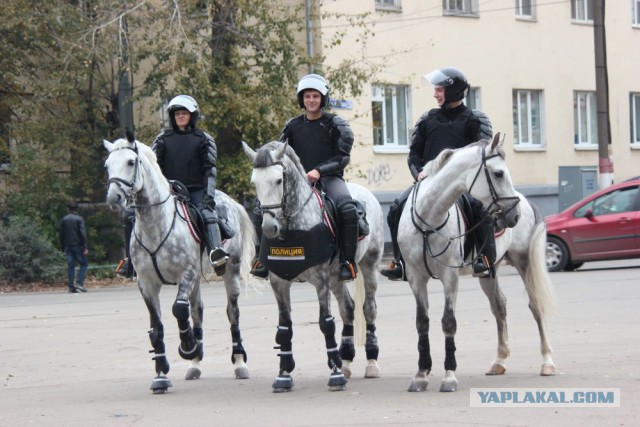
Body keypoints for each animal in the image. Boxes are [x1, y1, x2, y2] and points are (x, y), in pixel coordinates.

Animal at [104, 135, 255, 392]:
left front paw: (187, 346)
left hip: (229, 273)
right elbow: (157, 327)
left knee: (232, 313)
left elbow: (178, 309)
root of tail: (231, 202)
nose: (114, 197)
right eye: (107, 165)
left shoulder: (187, 273)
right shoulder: (147, 284)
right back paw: (195, 364)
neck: (156, 226)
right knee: (197, 311)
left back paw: (239, 363)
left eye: (131, 162)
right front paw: (161, 376)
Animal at [242, 142, 384, 392]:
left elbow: (326, 323)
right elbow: (284, 327)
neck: (293, 228)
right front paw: (283, 375)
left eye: (278, 180)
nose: (269, 227)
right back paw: (346, 360)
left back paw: (371, 363)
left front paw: (335, 374)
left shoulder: (321, 279)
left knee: (368, 309)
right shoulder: (279, 282)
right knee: (348, 308)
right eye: (254, 182)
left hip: (369, 266)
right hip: (337, 277)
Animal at [400, 134, 556, 394]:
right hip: (489, 273)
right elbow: (422, 323)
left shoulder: (449, 277)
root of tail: (525, 201)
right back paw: (499, 361)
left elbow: (448, 322)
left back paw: (547, 362)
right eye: (499, 173)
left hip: (524, 263)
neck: (428, 222)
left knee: (536, 306)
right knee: (499, 306)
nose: (513, 216)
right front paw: (421, 375)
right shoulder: (415, 277)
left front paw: (449, 376)